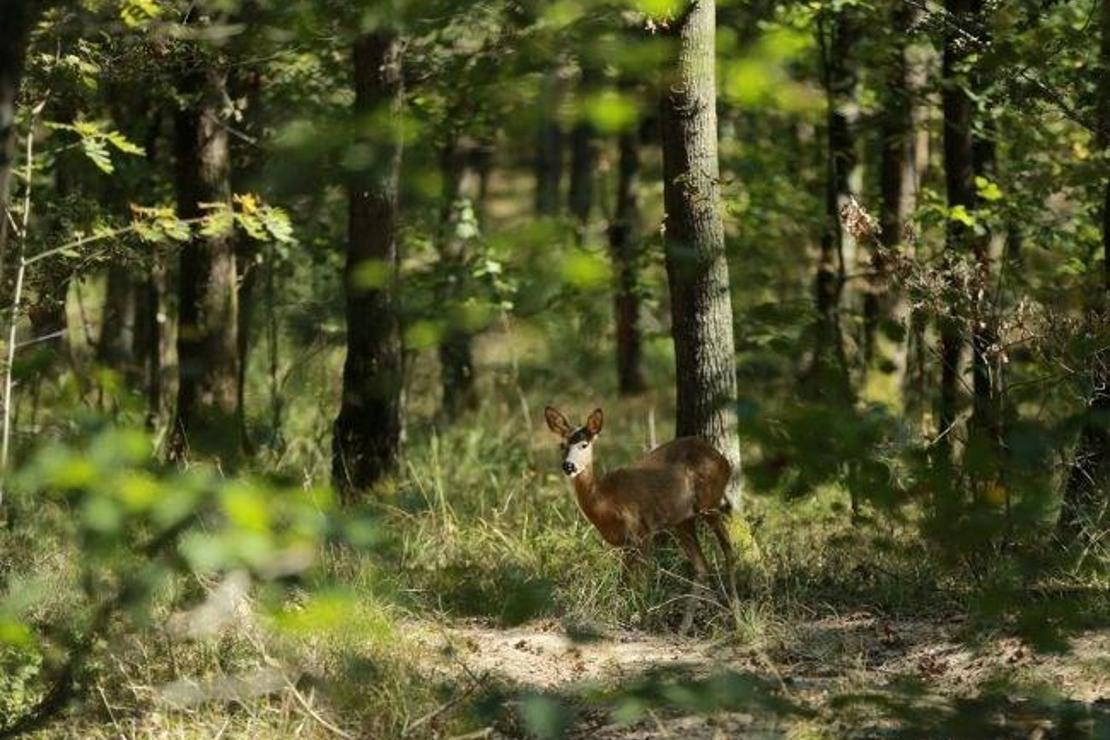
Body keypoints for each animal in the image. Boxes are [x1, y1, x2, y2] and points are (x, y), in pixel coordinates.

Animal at [546, 406, 737, 630]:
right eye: (562, 445)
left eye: (584, 445)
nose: (568, 466)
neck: (605, 501)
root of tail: (724, 461)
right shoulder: (626, 543)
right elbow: (623, 582)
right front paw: (620, 616)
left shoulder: (642, 531)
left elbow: (643, 579)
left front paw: (643, 619)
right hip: (682, 520)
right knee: (702, 566)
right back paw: (686, 627)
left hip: (709, 502)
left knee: (728, 549)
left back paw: (735, 613)